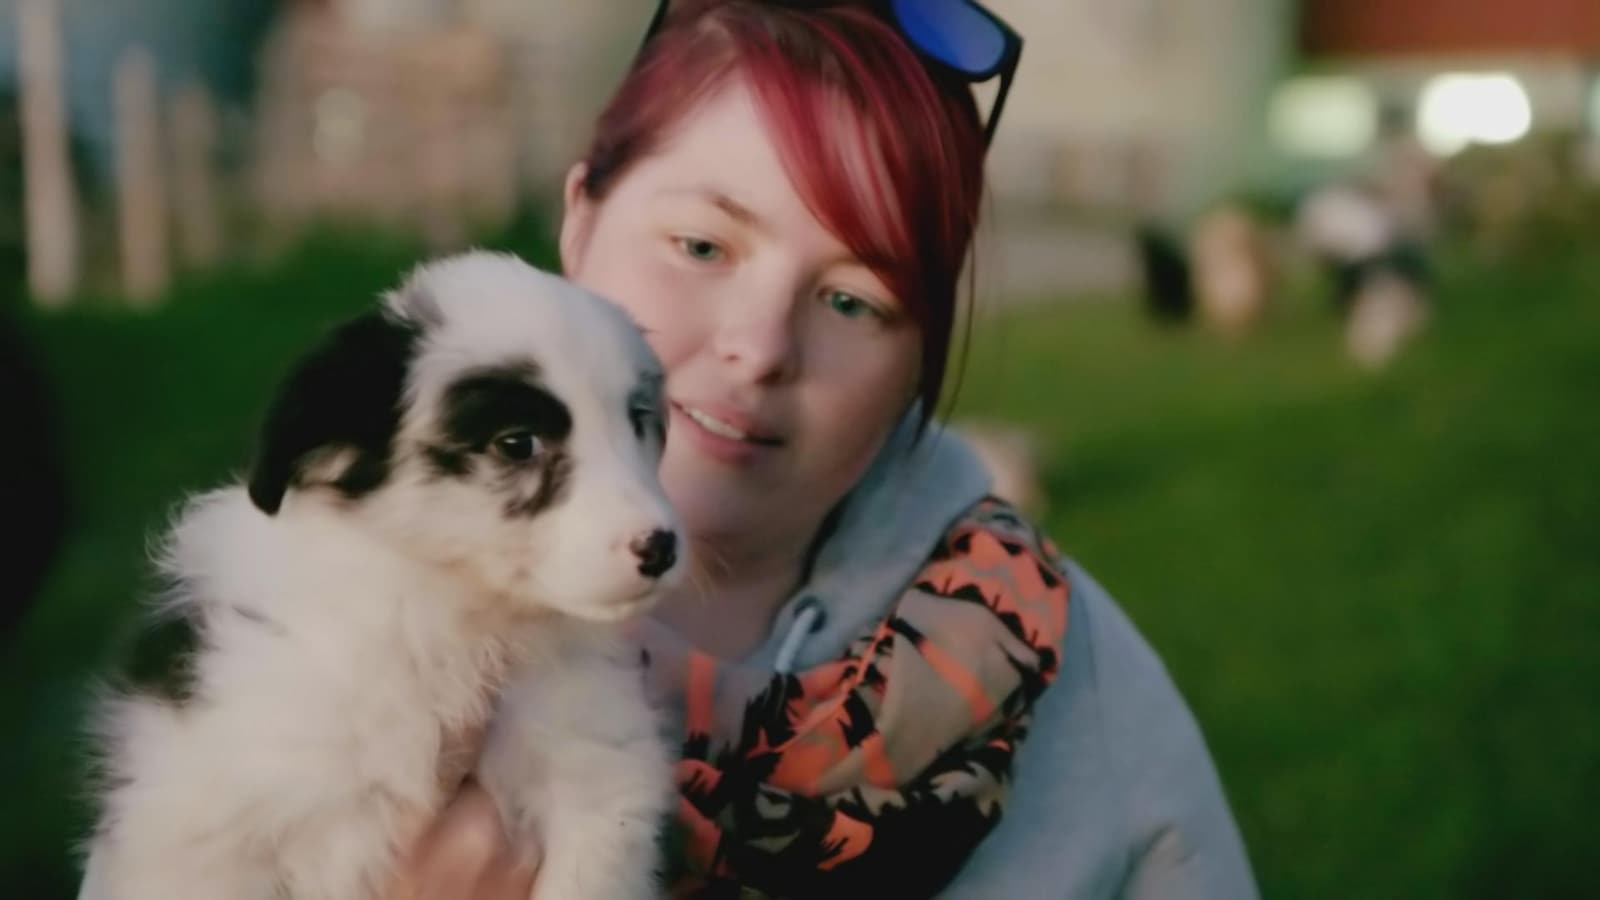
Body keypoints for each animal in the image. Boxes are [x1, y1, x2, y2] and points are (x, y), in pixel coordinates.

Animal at [81, 249, 681, 896]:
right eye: (517, 443)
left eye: (638, 421)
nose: (662, 547)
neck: (440, 625)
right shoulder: (207, 841)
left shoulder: (594, 787)